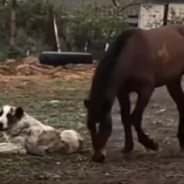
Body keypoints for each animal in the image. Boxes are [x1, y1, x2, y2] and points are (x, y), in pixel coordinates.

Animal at [84, 24, 184, 162]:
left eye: (105, 126)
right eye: (89, 125)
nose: (97, 157)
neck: (132, 55)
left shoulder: (146, 90)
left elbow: (135, 118)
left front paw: (151, 144)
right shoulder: (122, 93)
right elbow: (125, 118)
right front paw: (128, 146)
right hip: (173, 81)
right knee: (181, 105)